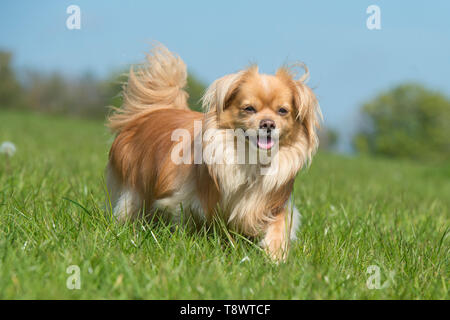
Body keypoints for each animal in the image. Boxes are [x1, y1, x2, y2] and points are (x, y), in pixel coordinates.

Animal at [107, 44, 322, 260]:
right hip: (134, 189)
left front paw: (275, 257)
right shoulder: (183, 199)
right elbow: (184, 221)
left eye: (283, 111)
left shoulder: (272, 205)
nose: (268, 123)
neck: (249, 160)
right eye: (249, 109)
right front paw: (184, 245)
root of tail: (152, 111)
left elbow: (279, 227)